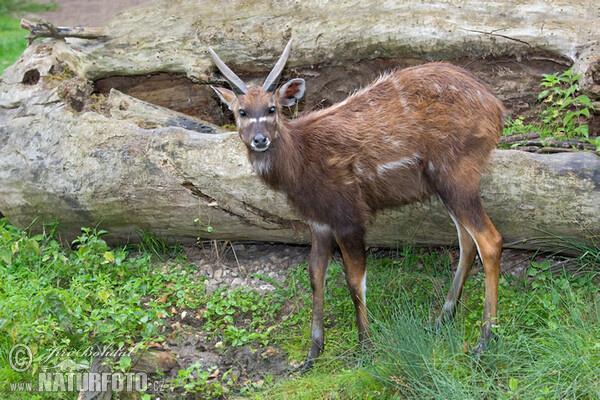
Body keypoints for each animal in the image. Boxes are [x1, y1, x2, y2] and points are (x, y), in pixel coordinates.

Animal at [209, 39, 504, 368]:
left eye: (271, 108)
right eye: (242, 111)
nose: (259, 139)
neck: (301, 161)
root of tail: (497, 108)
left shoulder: (349, 215)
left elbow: (354, 279)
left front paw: (366, 348)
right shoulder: (319, 221)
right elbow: (315, 274)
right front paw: (312, 354)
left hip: (456, 173)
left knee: (489, 240)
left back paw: (484, 340)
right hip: (445, 185)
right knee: (467, 240)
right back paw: (441, 319)